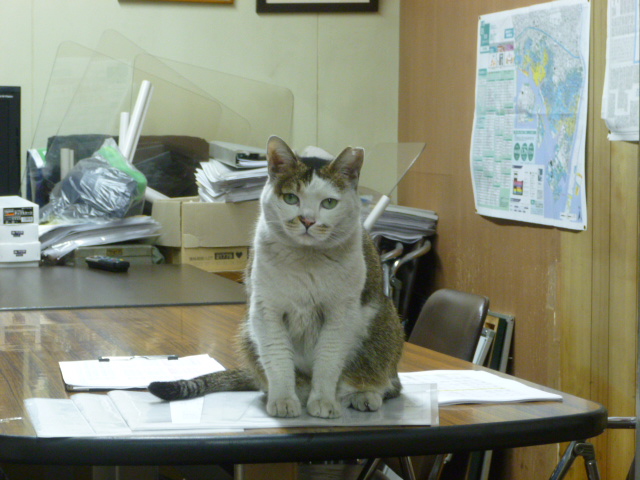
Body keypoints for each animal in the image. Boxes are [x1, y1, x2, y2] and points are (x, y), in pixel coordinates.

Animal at [148, 137, 402, 418]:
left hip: (384, 324)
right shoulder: (266, 311)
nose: (308, 220)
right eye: (291, 198)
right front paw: (283, 400)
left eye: (329, 203)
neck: (306, 261)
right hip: (248, 331)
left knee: (382, 380)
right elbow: (278, 359)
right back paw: (295, 392)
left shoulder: (339, 315)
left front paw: (323, 402)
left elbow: (328, 362)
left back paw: (362, 395)